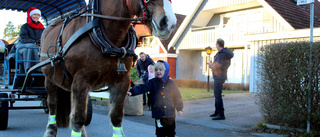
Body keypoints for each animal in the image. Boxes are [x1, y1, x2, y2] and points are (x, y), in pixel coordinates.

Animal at [39, 0, 178, 136]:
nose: (169, 23)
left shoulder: (121, 82)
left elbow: (116, 118)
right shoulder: (80, 81)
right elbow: (78, 119)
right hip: (50, 80)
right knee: (53, 105)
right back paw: (50, 130)